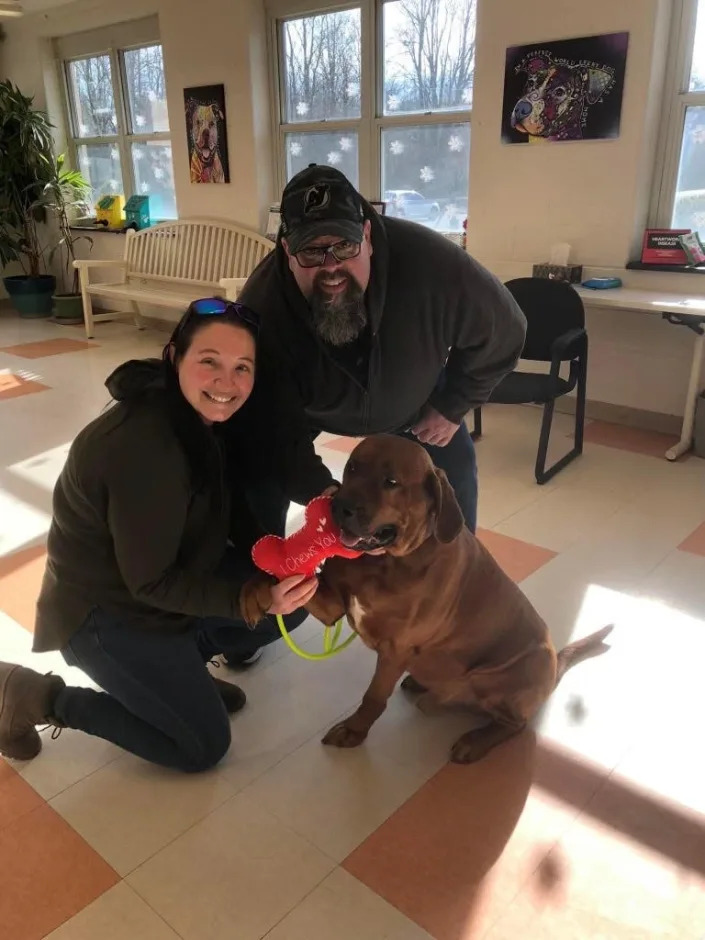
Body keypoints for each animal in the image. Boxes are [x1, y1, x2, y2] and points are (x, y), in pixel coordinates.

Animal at [242, 434, 612, 764]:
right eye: (352, 467)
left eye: (391, 481)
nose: (338, 507)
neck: (383, 562)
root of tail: (554, 666)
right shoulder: (334, 606)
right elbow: (285, 581)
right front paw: (255, 591)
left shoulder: (395, 648)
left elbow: (373, 696)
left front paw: (354, 731)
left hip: (501, 675)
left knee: (515, 723)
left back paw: (474, 741)